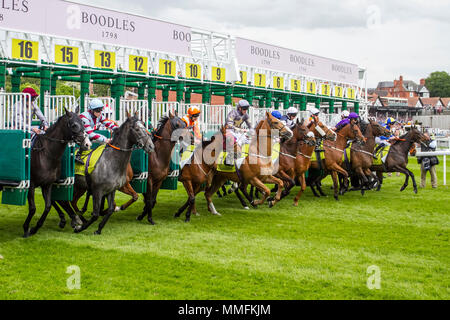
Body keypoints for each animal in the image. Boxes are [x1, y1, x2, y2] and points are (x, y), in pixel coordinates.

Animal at [22, 110, 91, 238]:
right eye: (74, 125)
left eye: (83, 123)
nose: (87, 144)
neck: (47, 154)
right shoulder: (32, 184)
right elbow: (33, 208)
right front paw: (26, 228)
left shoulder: (48, 184)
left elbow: (48, 206)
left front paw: (34, 228)